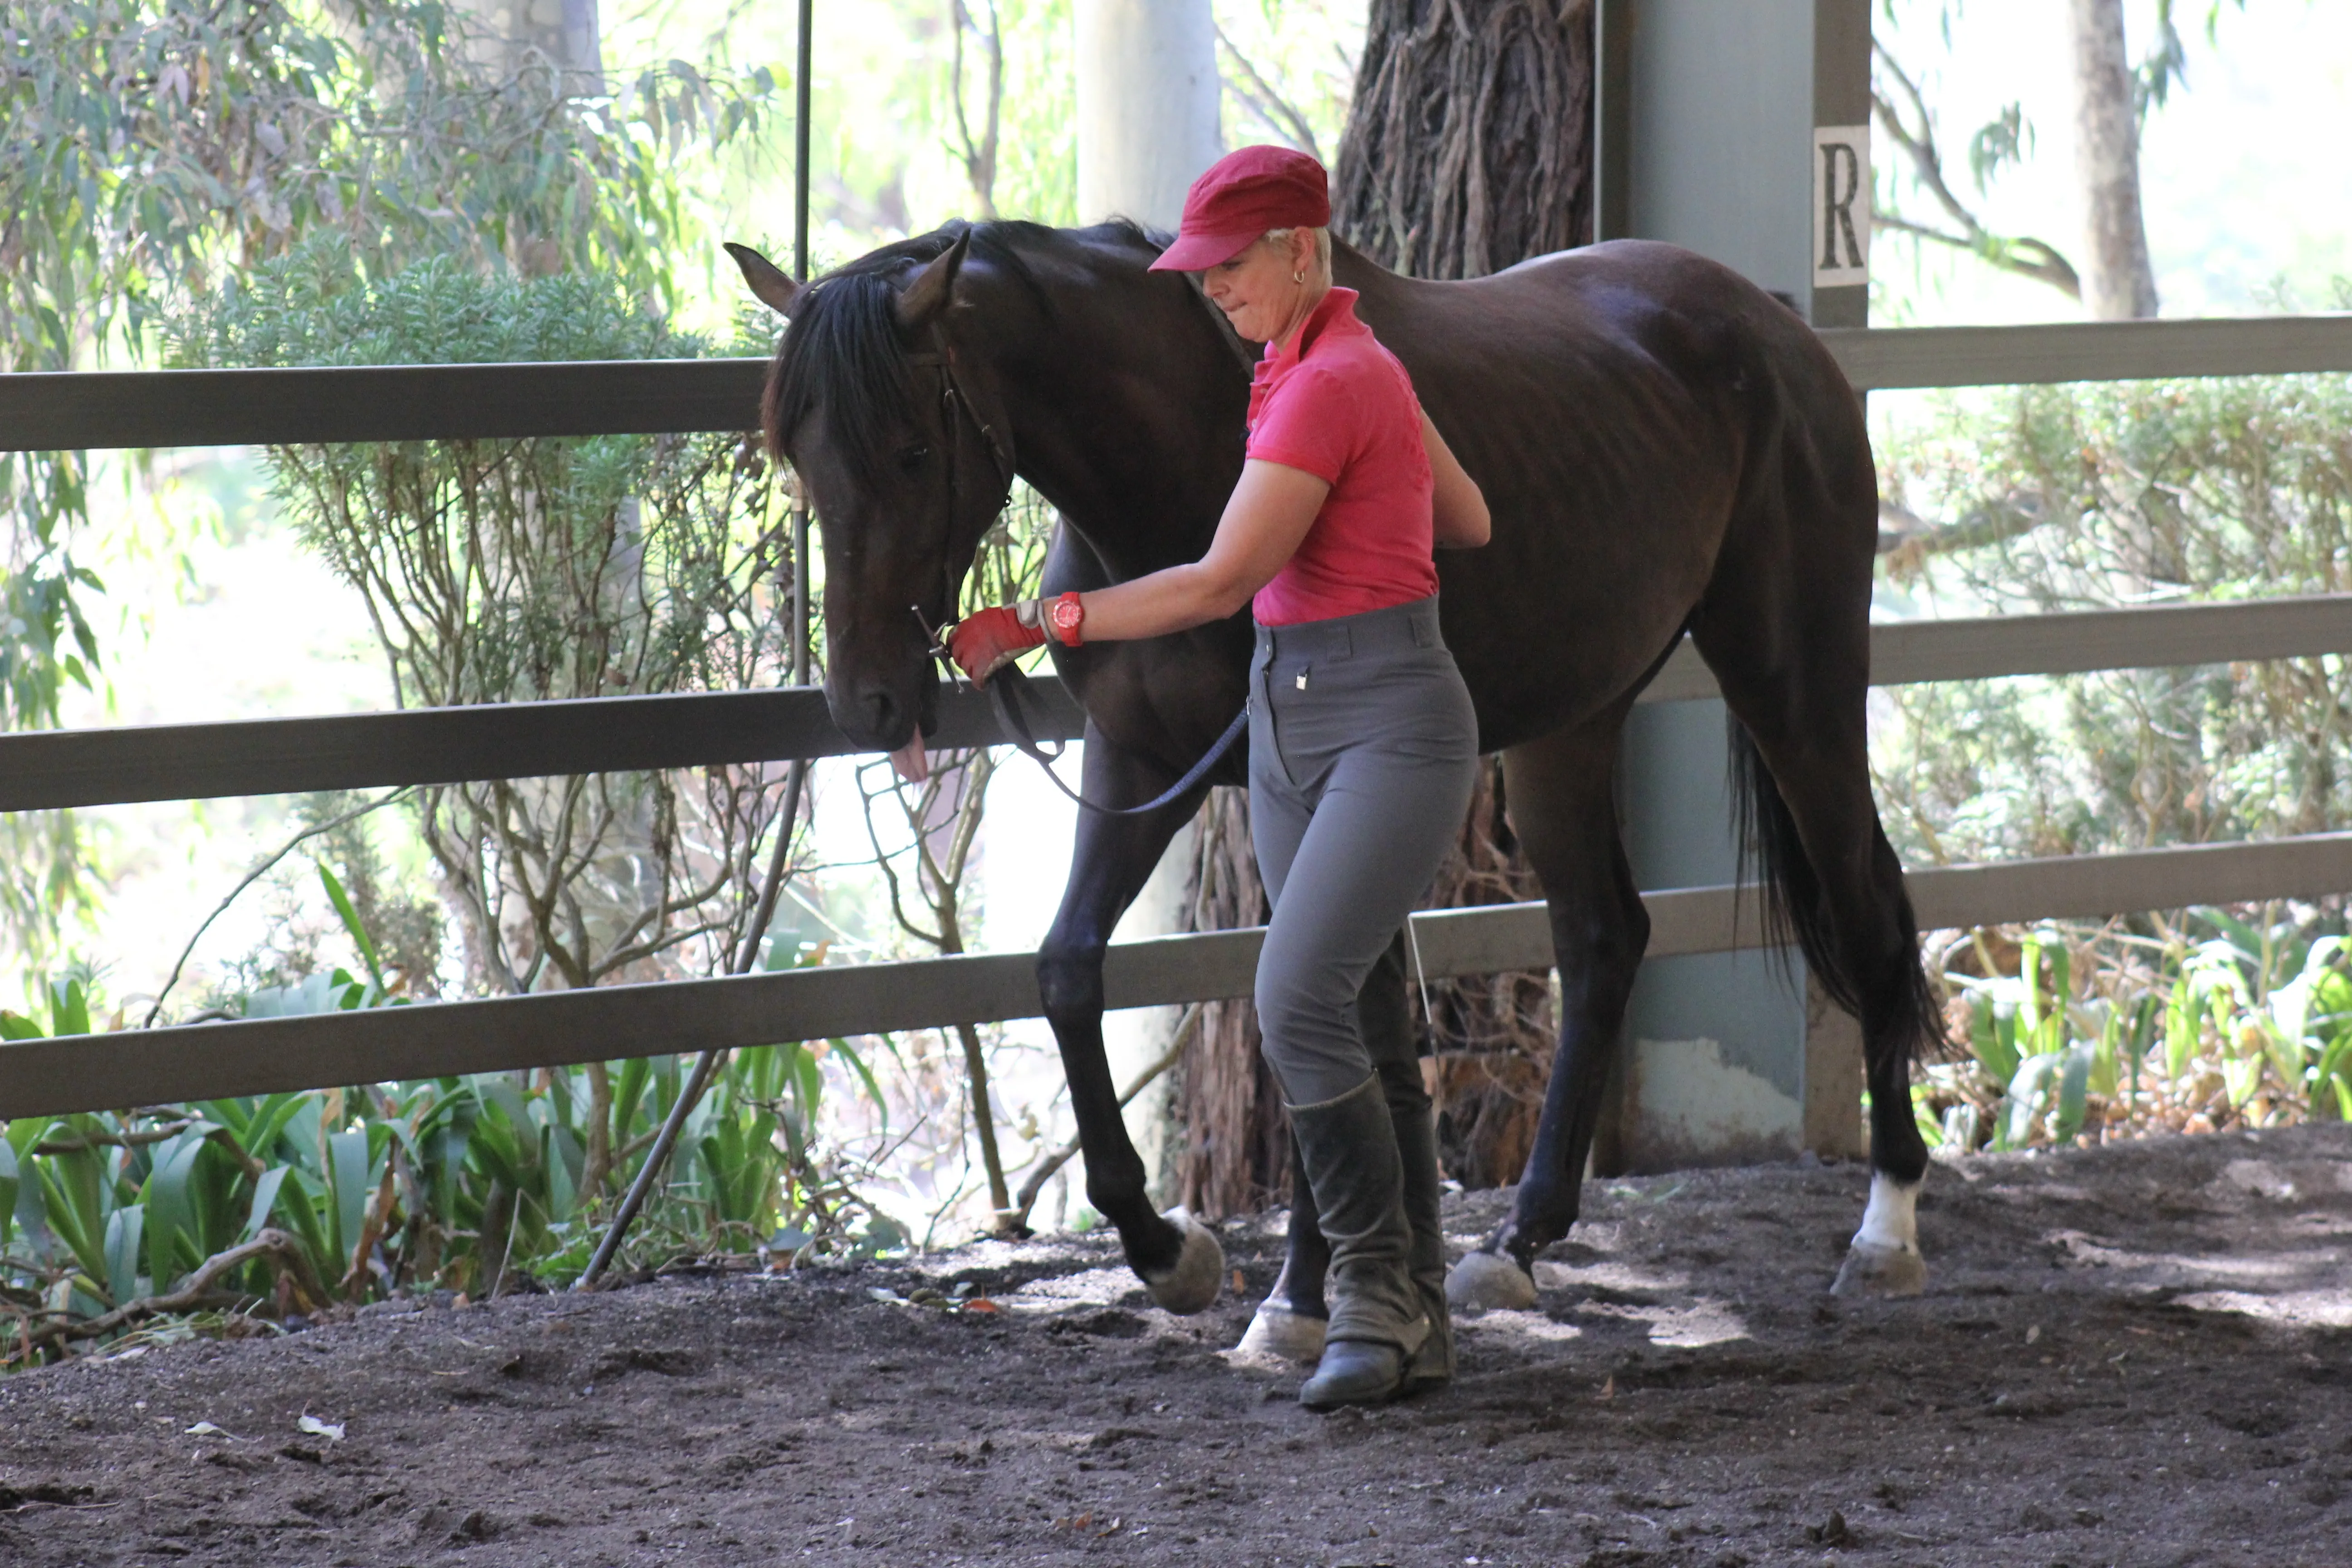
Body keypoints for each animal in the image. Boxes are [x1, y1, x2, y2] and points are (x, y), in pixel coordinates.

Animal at [724, 217, 1938, 1326]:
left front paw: (1305, 1288)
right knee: (1604, 938)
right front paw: (1166, 1246)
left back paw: (1886, 1230)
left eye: (913, 452)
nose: (867, 701)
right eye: (800, 459)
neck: (1190, 459)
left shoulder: (1299, 783)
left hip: (1794, 685)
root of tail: (1772, 328)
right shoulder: (1138, 762)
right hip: (1570, 723)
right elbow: (1069, 971)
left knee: (1869, 914)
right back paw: (1519, 1238)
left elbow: (1306, 1002)